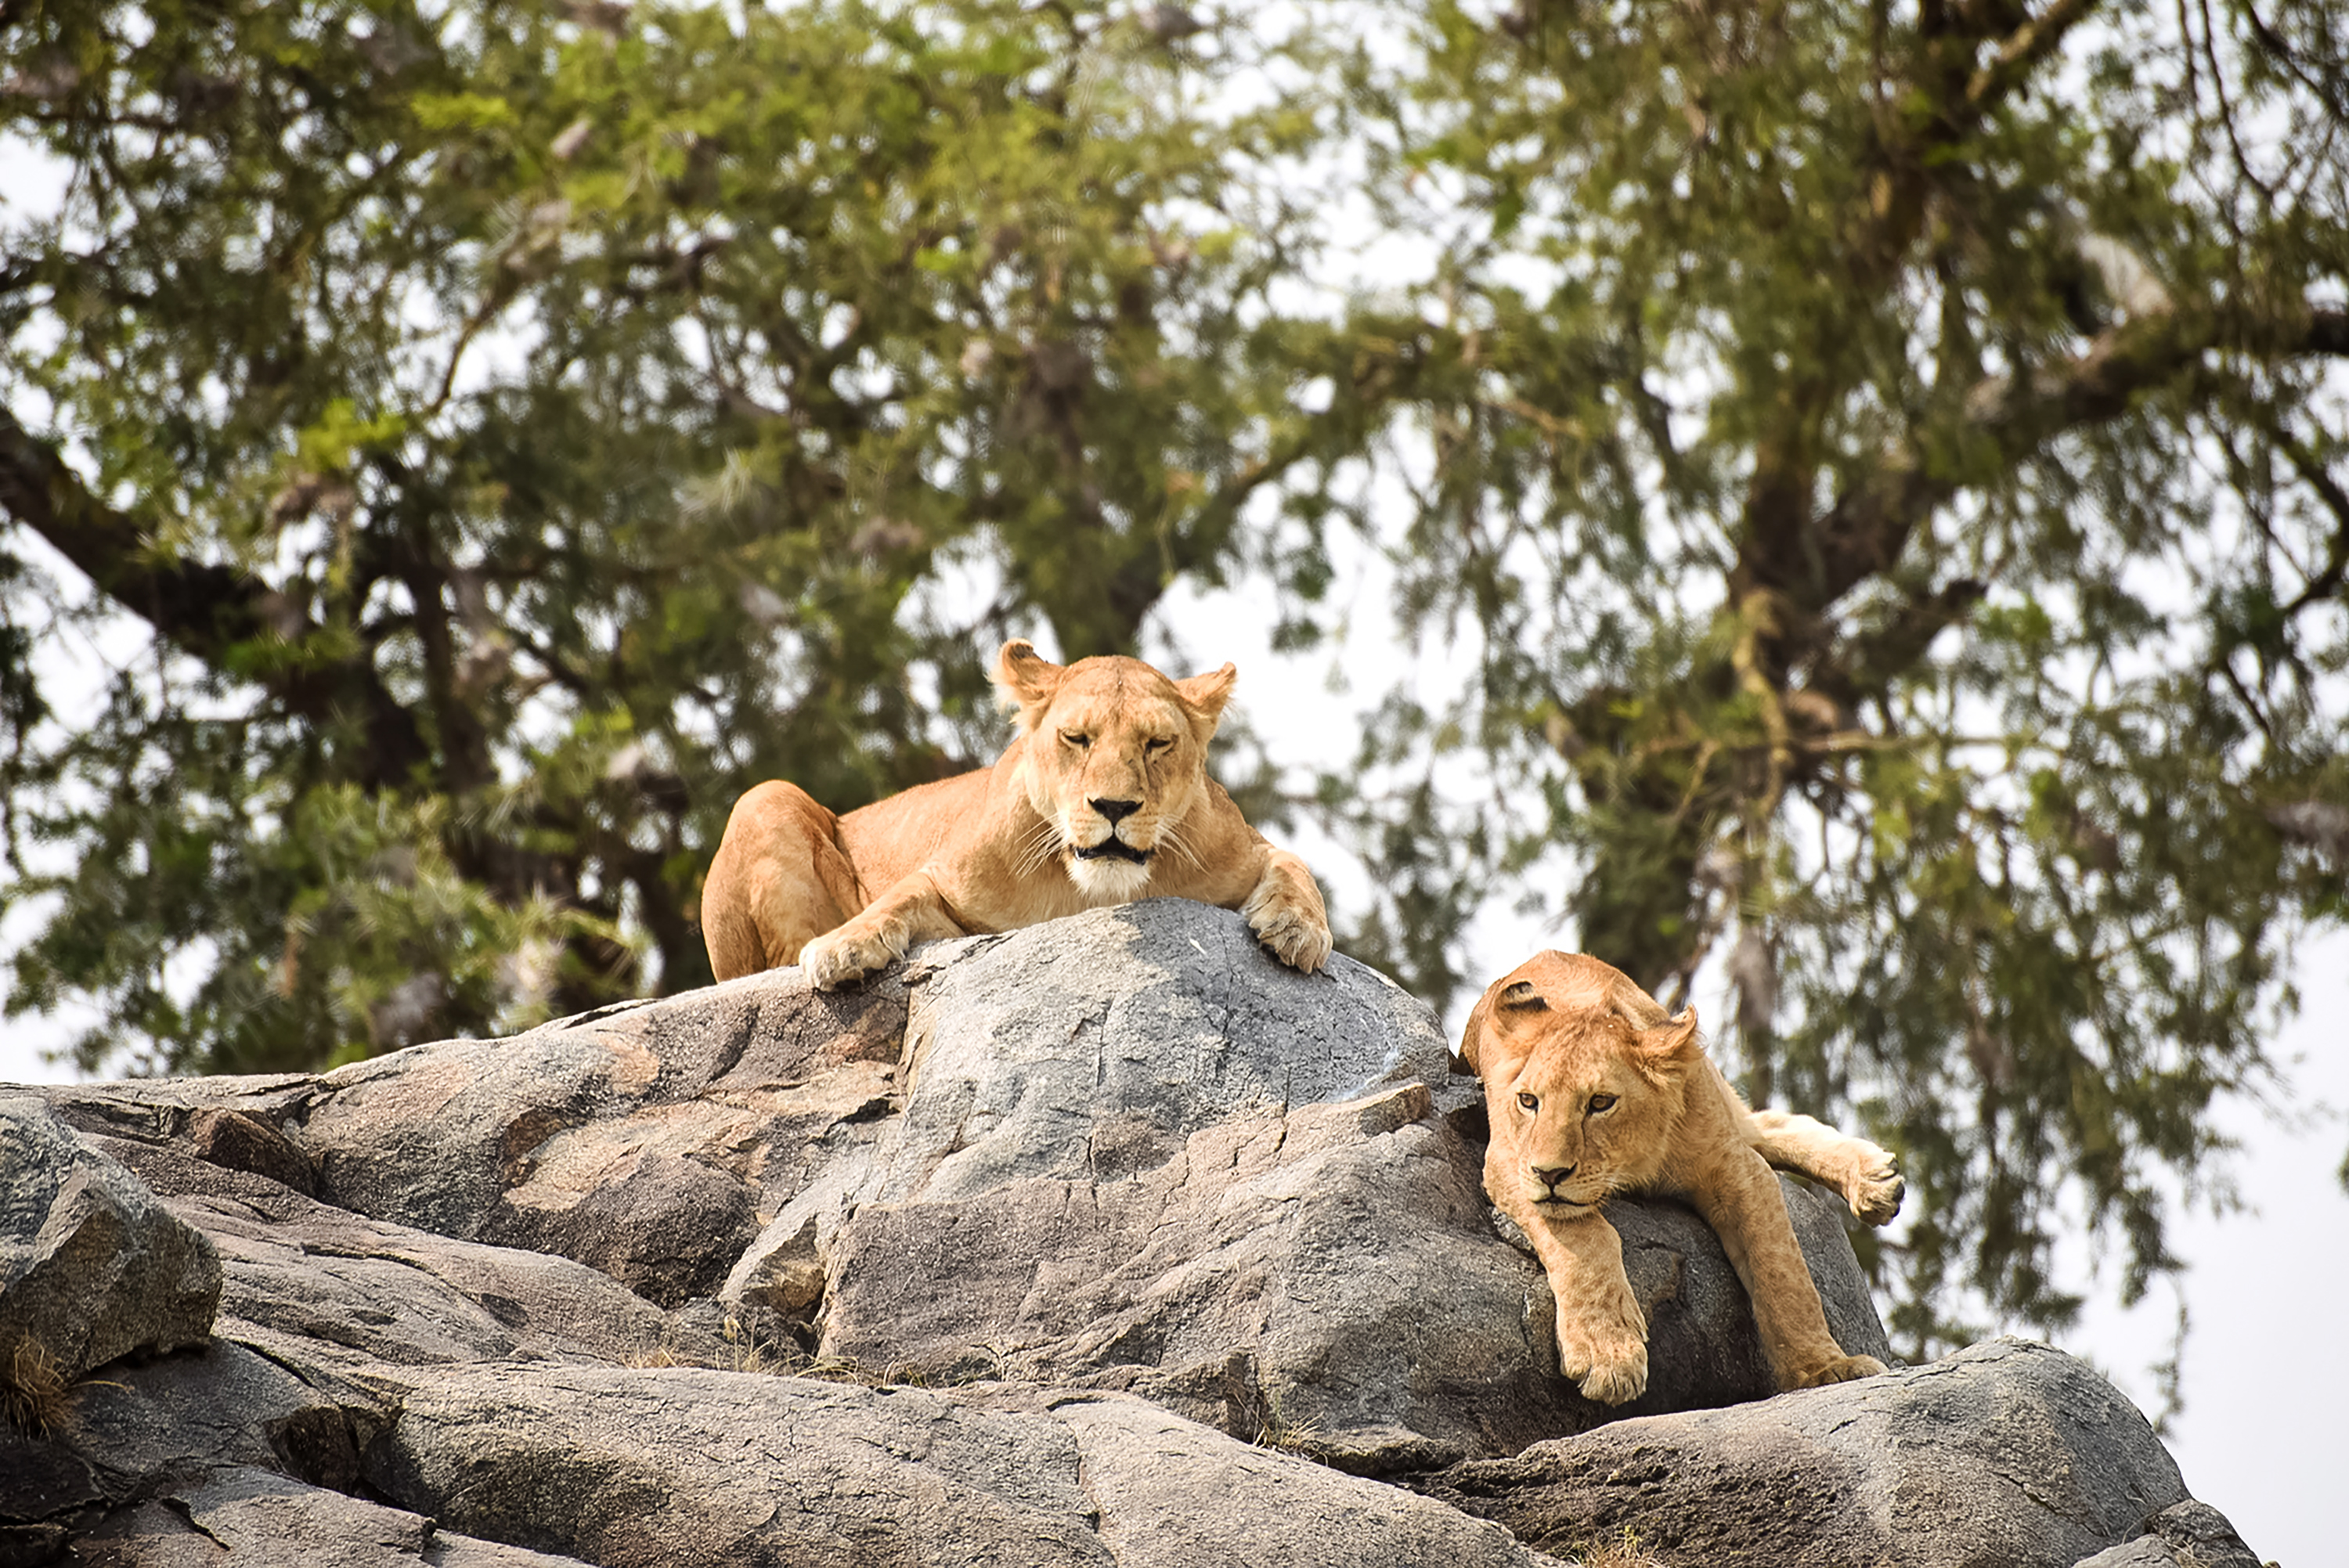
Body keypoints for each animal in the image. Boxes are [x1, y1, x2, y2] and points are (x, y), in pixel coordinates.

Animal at [701, 639, 1333, 990]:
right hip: (764, 796)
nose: (1114, 807)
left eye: (1157, 743)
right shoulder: (951, 884)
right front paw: (844, 946)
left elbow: (1295, 864)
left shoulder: (1242, 845)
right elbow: (900, 894)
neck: (1091, 893)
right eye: (1076, 738)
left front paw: (1298, 929)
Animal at [1460, 951, 1903, 1406]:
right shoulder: (1507, 1159)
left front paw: (1824, 1368)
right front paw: (1609, 1354)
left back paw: (1872, 1180)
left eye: (1600, 1103)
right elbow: (1586, 1241)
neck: (1633, 1162)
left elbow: (1783, 1274)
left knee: (1759, 1125)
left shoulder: (1736, 1166)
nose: (1549, 1173)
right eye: (1528, 1101)